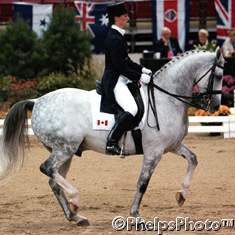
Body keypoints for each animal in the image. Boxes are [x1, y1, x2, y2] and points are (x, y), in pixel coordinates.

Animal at [0, 48, 224, 225]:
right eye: (220, 75)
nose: (214, 106)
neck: (166, 98)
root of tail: (37, 101)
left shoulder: (172, 146)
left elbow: (193, 159)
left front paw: (181, 196)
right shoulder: (154, 152)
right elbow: (142, 183)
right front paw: (136, 215)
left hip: (66, 151)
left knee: (54, 180)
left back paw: (75, 216)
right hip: (64, 149)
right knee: (47, 169)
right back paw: (75, 200)